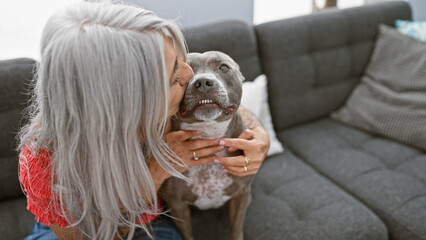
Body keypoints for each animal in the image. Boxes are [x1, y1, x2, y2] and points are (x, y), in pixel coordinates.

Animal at [159, 50, 253, 240]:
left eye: (223, 67)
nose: (203, 82)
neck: (209, 134)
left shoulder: (241, 194)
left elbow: (236, 229)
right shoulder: (177, 205)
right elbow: (187, 235)